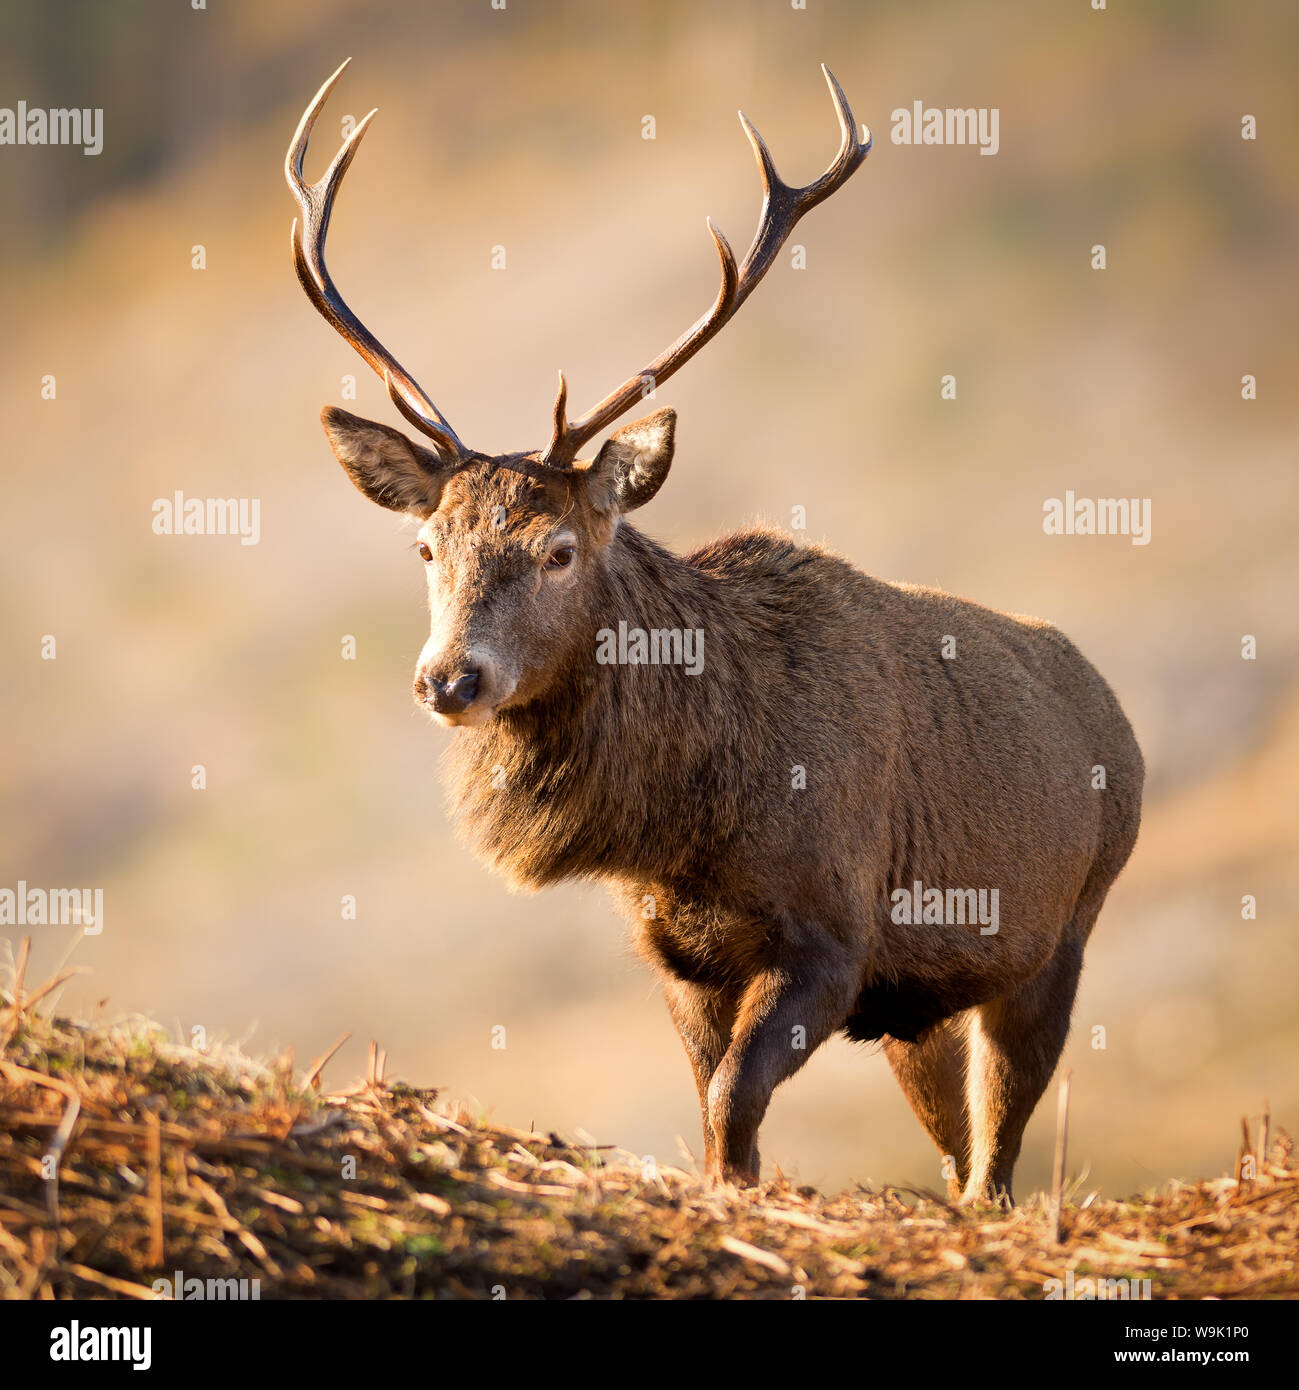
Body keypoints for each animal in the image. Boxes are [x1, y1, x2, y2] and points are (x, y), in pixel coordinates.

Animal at [286, 60, 1143, 1203]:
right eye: (426, 546)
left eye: (559, 549)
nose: (448, 679)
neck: (686, 823)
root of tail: (1114, 716)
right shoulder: (679, 958)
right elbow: (712, 1119)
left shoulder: (832, 930)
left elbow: (736, 1101)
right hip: (925, 1002)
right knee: (960, 1135)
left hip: (1062, 929)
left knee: (998, 1151)